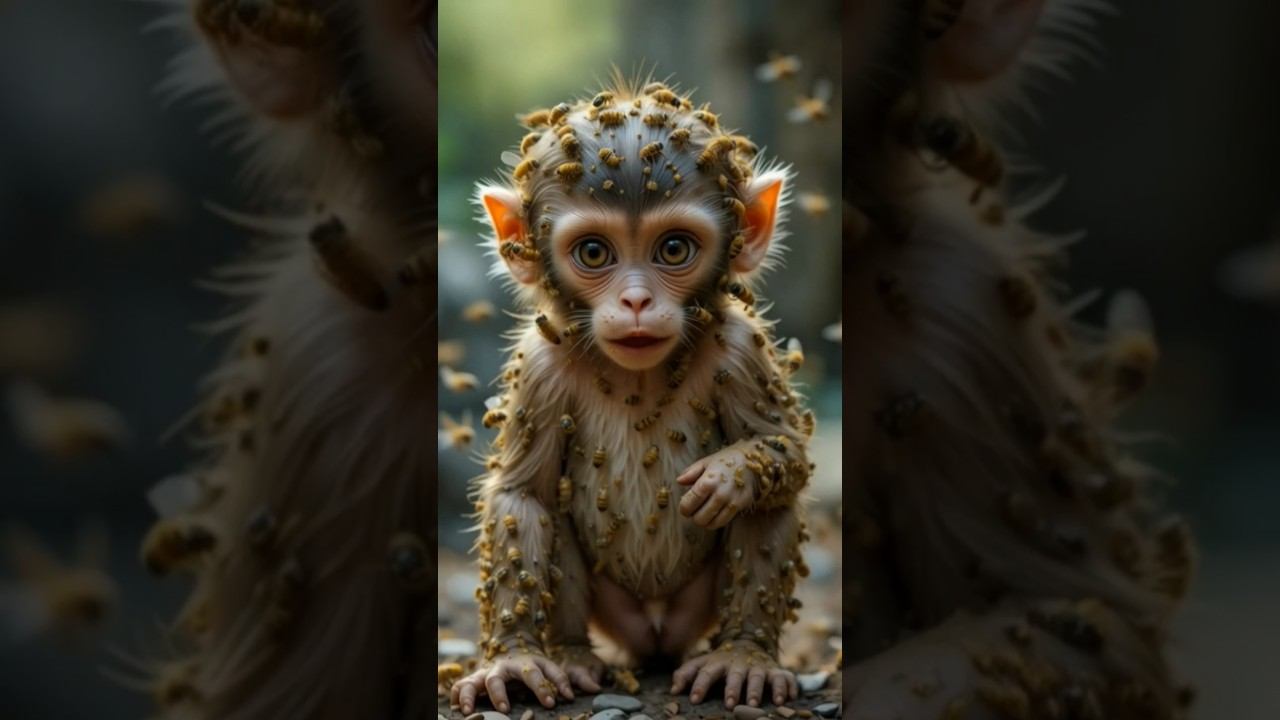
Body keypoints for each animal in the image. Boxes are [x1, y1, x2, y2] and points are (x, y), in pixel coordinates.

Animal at [450, 72, 814, 714]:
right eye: (594, 252)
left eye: (674, 249)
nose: (637, 300)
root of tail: (655, 639)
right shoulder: (540, 368)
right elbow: (523, 498)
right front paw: (513, 659)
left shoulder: (742, 350)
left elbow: (785, 453)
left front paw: (731, 474)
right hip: (615, 614)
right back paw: (571, 654)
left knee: (773, 503)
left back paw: (743, 654)